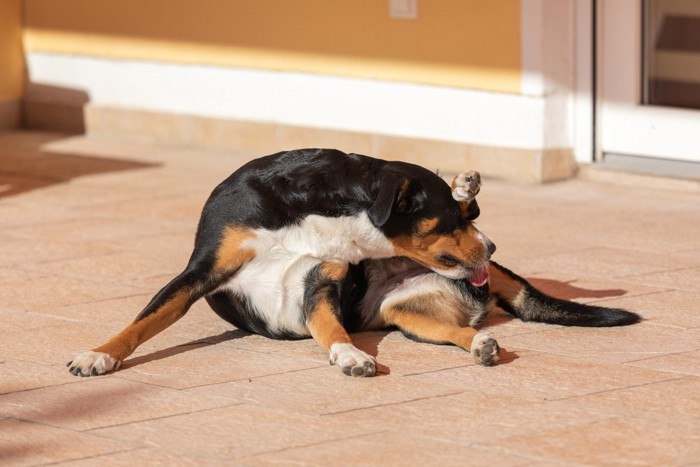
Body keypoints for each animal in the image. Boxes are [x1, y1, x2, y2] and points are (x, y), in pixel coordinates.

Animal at [67, 148, 640, 378]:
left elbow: (329, 328)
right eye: (445, 220)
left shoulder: (319, 285)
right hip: (412, 314)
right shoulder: (201, 272)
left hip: (412, 313)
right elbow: (141, 323)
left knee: (462, 332)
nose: (492, 248)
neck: (313, 211)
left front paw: (348, 356)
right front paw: (99, 356)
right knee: (458, 331)